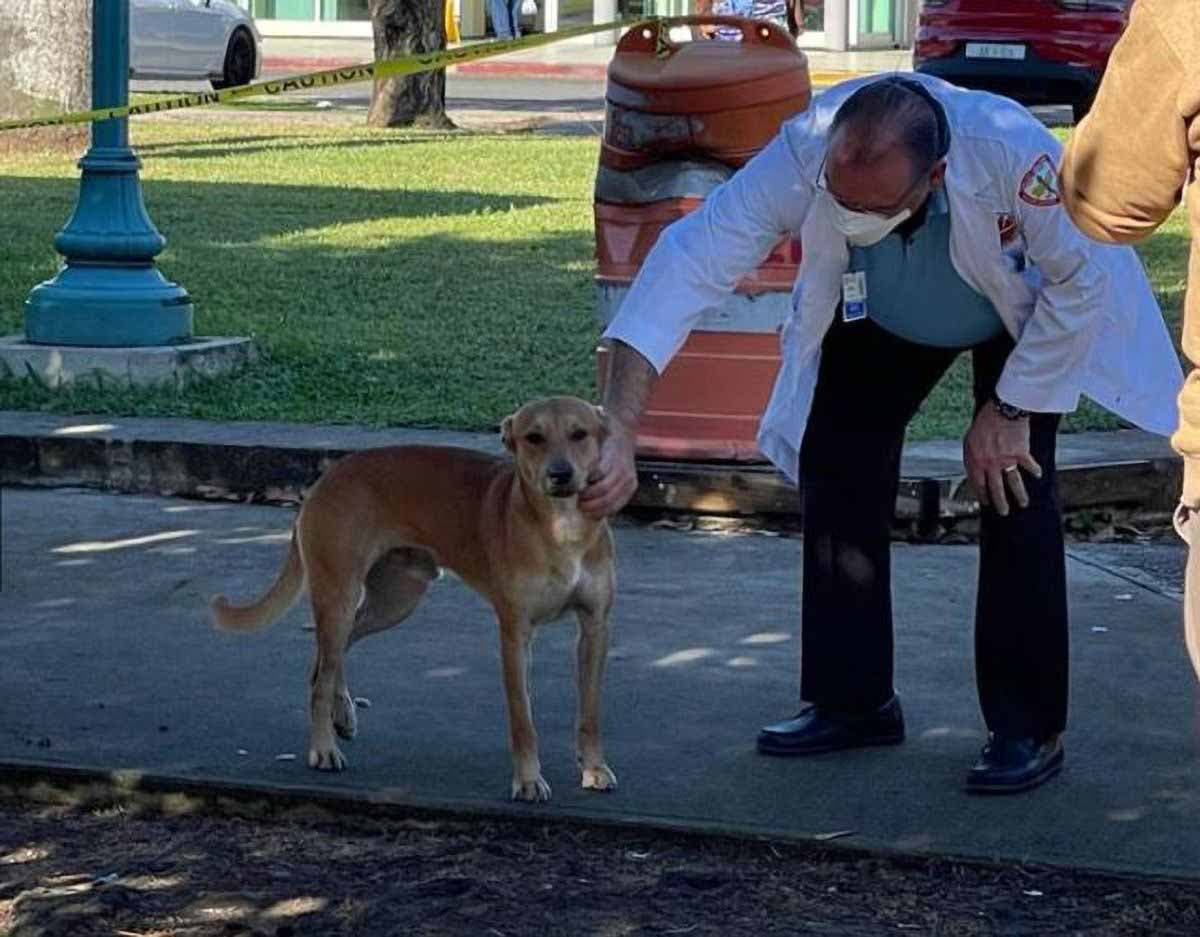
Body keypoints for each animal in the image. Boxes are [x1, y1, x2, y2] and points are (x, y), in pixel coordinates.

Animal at [210, 393, 614, 796]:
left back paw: (342, 713)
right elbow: (522, 719)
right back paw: (323, 747)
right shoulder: (515, 634)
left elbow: (591, 713)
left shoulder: (594, 629)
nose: (560, 474)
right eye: (534, 437)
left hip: (394, 601)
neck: (562, 530)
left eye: (579, 434)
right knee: (322, 678)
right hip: (339, 595)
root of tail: (326, 478)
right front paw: (528, 779)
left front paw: (593, 768)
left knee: (327, 659)